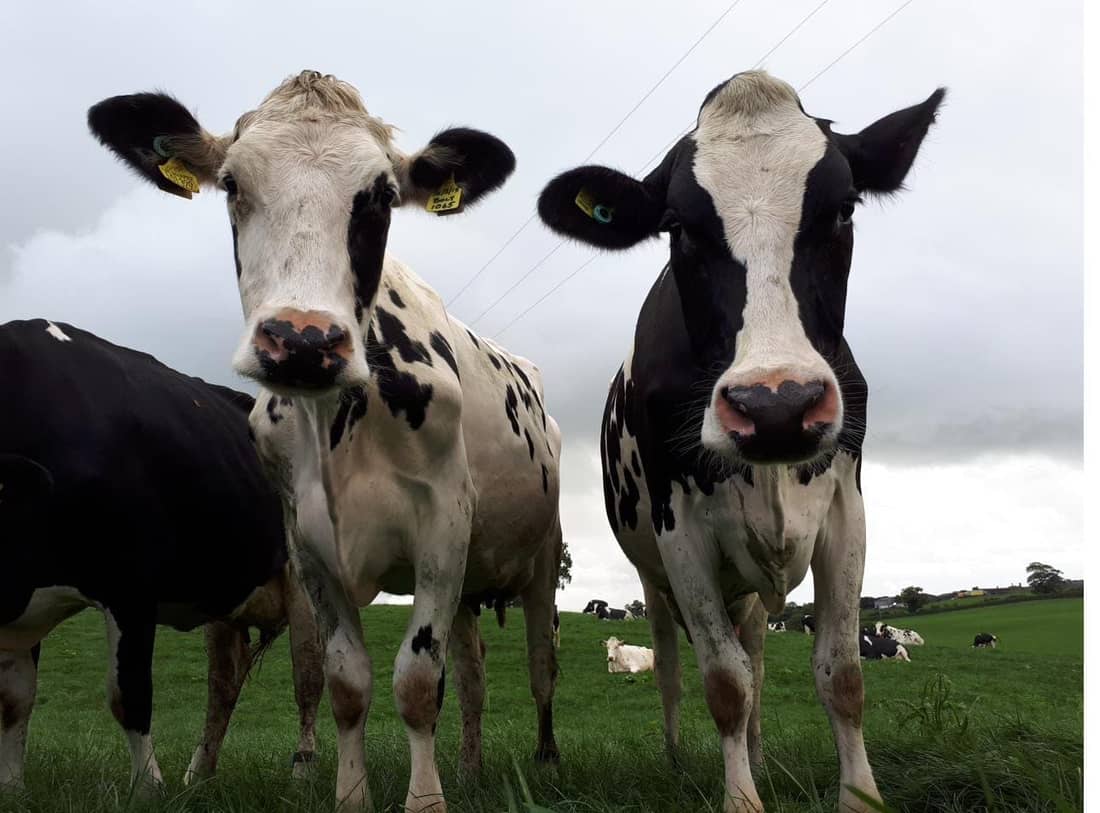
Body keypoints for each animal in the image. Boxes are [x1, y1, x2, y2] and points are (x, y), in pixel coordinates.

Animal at [0, 319, 322, 794]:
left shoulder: (130, 588)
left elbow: (129, 693)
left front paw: (148, 788)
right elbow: (15, 699)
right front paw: (11, 787)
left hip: (305, 586)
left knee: (310, 678)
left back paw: (302, 771)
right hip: (223, 596)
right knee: (224, 682)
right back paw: (200, 773)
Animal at [88, 70, 563, 812]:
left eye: (383, 195)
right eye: (231, 182)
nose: (303, 340)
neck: (338, 429)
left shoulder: (442, 530)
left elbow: (416, 681)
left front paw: (425, 801)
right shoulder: (308, 549)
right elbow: (346, 682)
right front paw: (352, 795)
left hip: (542, 559)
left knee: (542, 665)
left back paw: (544, 762)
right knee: (474, 671)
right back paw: (470, 769)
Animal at [538, 70, 943, 812]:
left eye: (843, 209)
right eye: (677, 226)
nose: (776, 405)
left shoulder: (845, 510)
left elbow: (840, 674)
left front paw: (857, 796)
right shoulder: (679, 530)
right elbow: (722, 683)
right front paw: (741, 798)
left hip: (749, 591)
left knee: (753, 653)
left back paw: (757, 755)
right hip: (655, 578)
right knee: (676, 665)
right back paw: (676, 758)